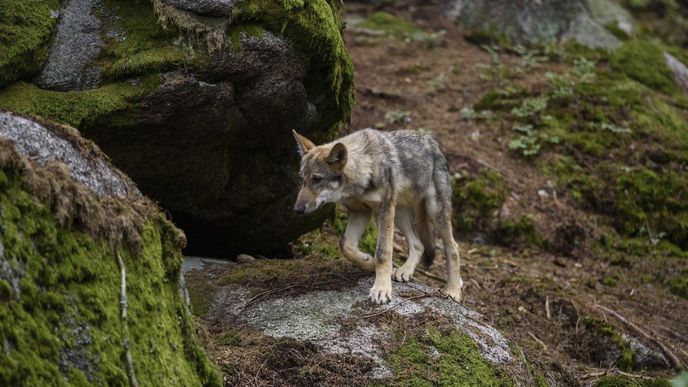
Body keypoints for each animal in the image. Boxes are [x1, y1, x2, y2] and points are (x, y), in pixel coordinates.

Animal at [290, 129, 462, 304]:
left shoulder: (383, 210)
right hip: (399, 214)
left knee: (453, 248)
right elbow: (345, 245)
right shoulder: (360, 212)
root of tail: (432, 140)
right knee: (418, 244)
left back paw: (453, 290)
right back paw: (404, 271)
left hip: (434, 213)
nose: (297, 209)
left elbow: (383, 253)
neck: (365, 168)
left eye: (317, 179)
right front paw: (369, 262)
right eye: (301, 179)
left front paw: (381, 289)